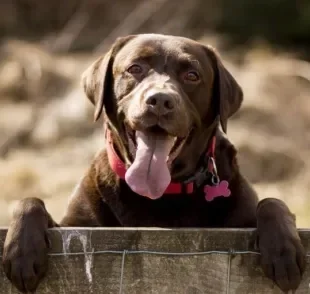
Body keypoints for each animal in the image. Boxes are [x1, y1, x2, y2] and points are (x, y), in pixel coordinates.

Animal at [1, 34, 306, 292]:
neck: (162, 195)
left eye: (192, 75)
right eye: (135, 68)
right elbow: (30, 201)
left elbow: (272, 203)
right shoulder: (76, 227)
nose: (160, 100)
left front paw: (283, 250)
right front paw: (22, 251)